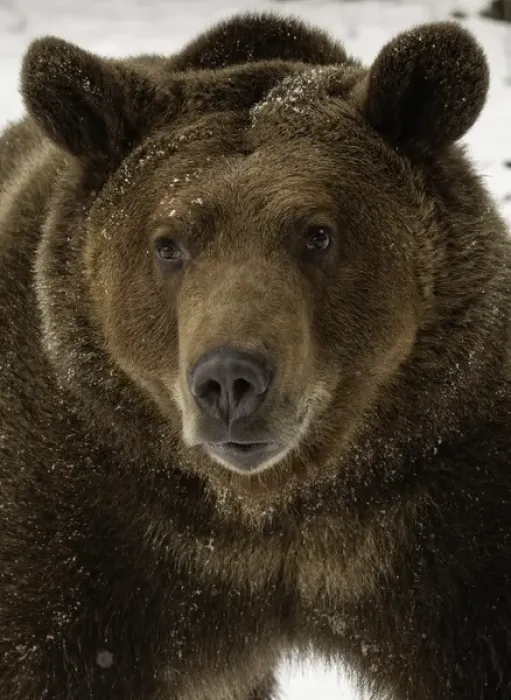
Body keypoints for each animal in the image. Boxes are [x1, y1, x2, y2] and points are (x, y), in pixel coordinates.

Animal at [1, 9, 511, 700]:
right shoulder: (84, 519)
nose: (228, 381)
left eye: (317, 234)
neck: (266, 512)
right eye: (168, 242)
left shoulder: (447, 504)